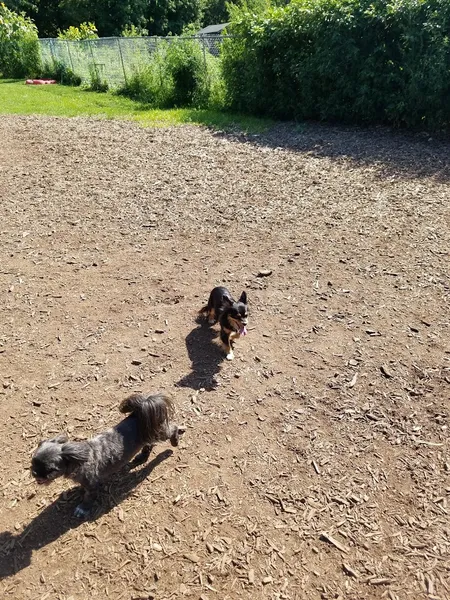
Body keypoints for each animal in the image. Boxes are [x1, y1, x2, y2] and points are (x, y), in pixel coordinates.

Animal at [30, 394, 184, 516]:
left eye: (51, 470)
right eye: (32, 463)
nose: (35, 473)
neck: (78, 460)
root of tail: (139, 412)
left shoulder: (92, 486)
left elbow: (88, 498)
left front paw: (83, 508)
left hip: (158, 431)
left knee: (172, 428)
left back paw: (175, 440)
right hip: (148, 433)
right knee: (149, 444)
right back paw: (142, 457)